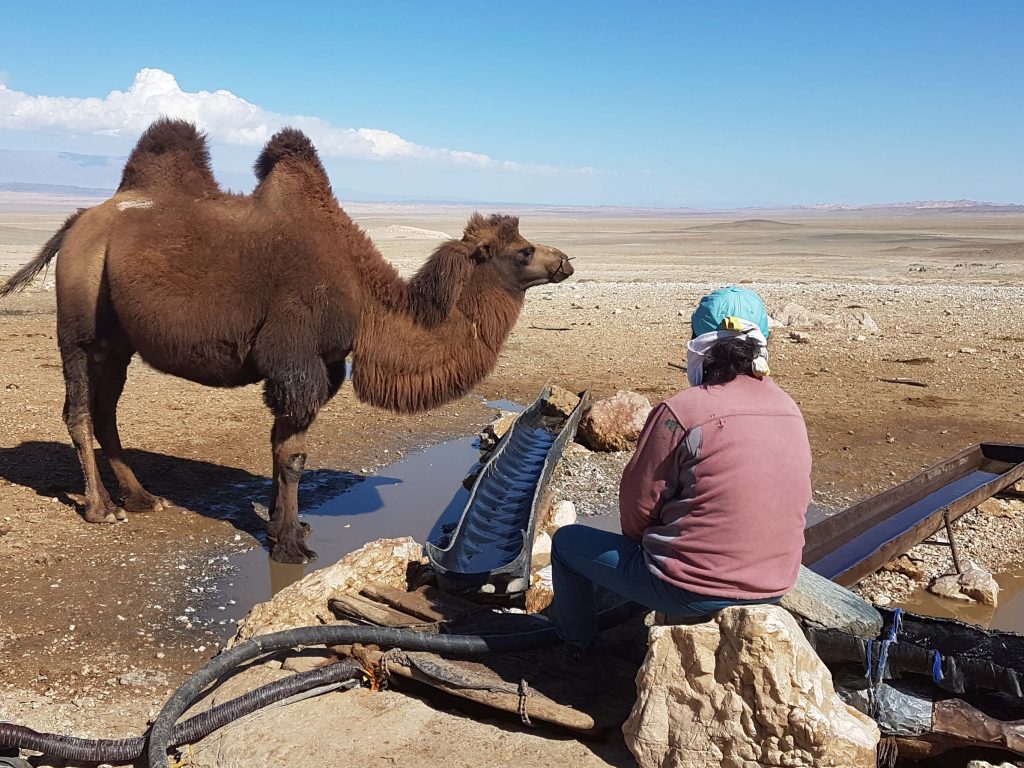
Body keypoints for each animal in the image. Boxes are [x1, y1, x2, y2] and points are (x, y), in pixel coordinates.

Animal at [0, 120, 573, 565]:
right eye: (523, 251)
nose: (565, 260)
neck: (362, 296)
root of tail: (78, 222)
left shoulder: (324, 364)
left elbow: (279, 445)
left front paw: (286, 526)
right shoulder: (295, 359)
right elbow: (293, 454)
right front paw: (290, 546)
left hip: (118, 337)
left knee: (106, 408)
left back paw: (142, 498)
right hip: (79, 317)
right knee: (78, 406)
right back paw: (101, 509)